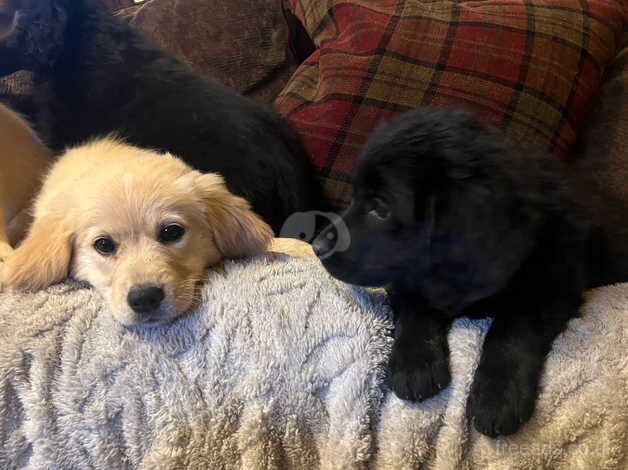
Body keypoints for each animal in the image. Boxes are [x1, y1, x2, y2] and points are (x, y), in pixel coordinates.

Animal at [314, 107, 628, 436]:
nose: (317, 246)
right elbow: (415, 307)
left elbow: (512, 330)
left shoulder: (553, 285)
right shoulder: (406, 277)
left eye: (381, 207)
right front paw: (414, 362)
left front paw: (496, 396)